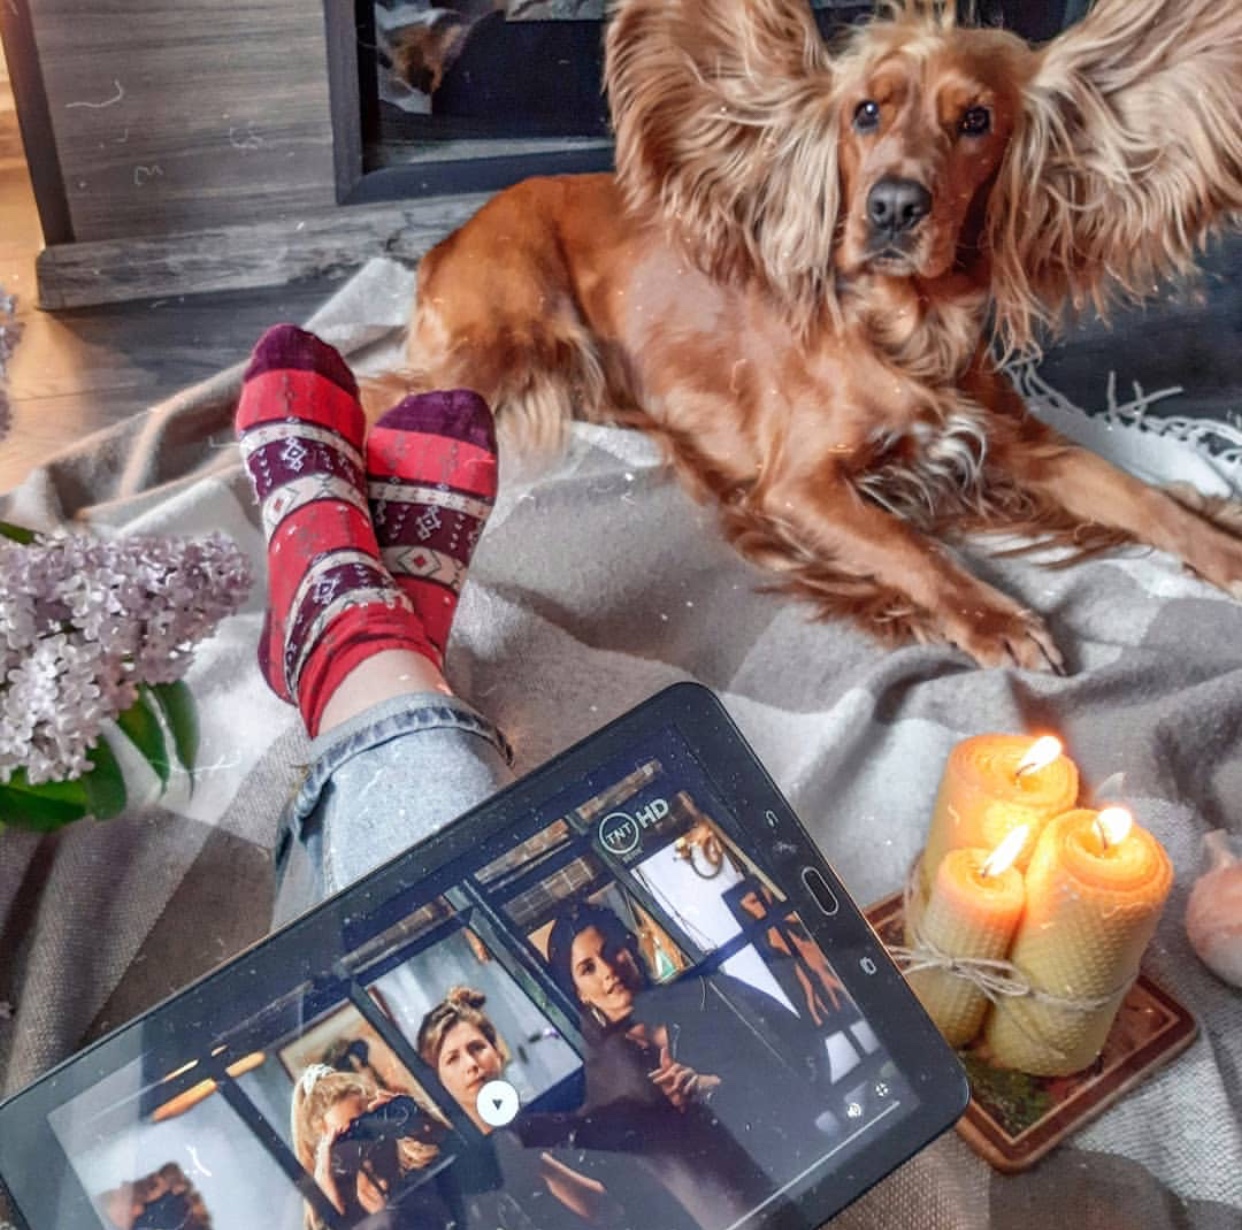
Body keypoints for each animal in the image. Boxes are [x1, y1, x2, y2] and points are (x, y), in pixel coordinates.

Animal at [377, 0, 1242, 675]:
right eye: (866, 111)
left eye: (976, 121)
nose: (893, 207)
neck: (910, 332)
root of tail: (452, 233)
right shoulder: (797, 484)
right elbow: (909, 544)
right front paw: (993, 616)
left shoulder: (1021, 443)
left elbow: (1139, 495)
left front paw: (1221, 542)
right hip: (510, 339)